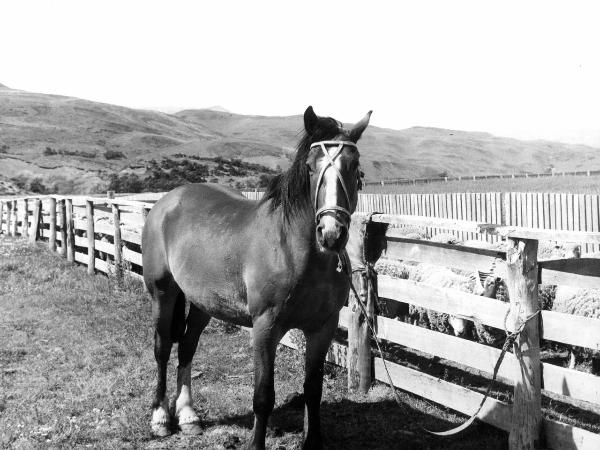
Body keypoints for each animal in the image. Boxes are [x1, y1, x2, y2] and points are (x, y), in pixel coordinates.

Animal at [142, 106, 370, 450]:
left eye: (355, 167)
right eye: (310, 167)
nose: (331, 234)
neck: (293, 250)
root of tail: (167, 202)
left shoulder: (322, 328)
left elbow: (313, 390)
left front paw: (312, 441)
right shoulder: (265, 328)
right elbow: (263, 396)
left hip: (203, 303)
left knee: (187, 346)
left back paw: (188, 415)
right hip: (163, 294)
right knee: (163, 346)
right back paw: (160, 418)